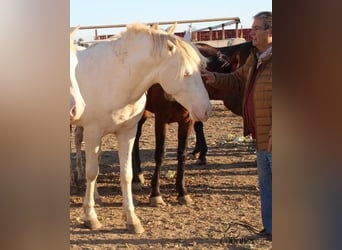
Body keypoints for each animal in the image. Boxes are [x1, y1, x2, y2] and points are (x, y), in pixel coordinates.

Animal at [73, 22, 210, 233]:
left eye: (202, 69)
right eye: (186, 73)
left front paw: (132, 219)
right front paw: (91, 217)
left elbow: (126, 175)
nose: (206, 110)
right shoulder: (93, 132)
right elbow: (92, 172)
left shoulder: (127, 132)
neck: (116, 77)